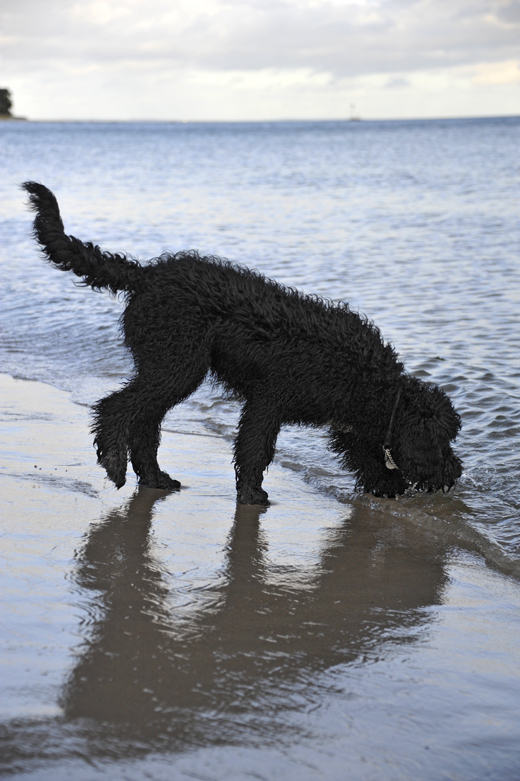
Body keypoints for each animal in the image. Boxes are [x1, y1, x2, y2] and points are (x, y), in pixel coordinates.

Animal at [25, 181, 464, 502]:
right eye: (443, 442)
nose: (455, 474)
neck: (371, 380)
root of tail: (147, 275)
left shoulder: (343, 414)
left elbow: (361, 450)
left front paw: (385, 485)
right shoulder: (269, 400)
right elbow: (255, 449)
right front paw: (253, 495)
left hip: (167, 367)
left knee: (145, 424)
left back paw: (155, 478)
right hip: (177, 365)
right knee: (117, 408)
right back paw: (115, 462)